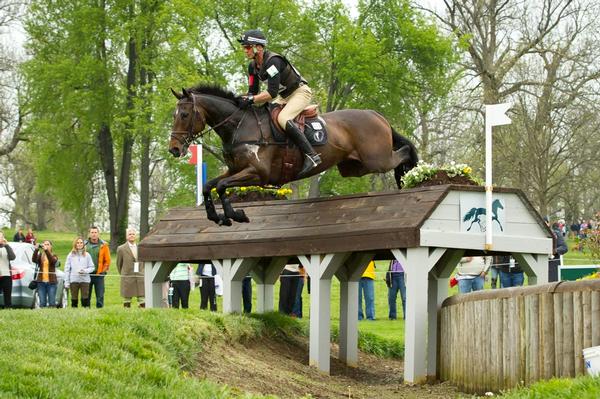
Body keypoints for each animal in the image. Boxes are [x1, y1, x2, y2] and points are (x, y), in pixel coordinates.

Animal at [169, 84, 418, 227]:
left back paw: (407, 178)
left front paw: (236, 215)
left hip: (376, 160)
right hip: (353, 167)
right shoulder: (235, 170)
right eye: (175, 115)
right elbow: (208, 185)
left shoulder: (257, 173)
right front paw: (217, 217)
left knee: (404, 152)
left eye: (184, 115)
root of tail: (376, 114)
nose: (174, 149)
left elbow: (221, 186)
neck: (240, 126)